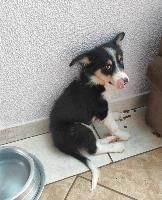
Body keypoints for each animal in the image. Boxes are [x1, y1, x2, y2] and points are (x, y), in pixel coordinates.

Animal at [50, 32, 130, 190]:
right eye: (107, 66)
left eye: (121, 61)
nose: (125, 81)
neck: (97, 82)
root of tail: (58, 143)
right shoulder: (102, 109)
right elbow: (113, 125)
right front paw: (123, 135)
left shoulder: (105, 109)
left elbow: (112, 116)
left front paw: (118, 115)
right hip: (80, 127)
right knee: (93, 149)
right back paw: (117, 146)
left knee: (95, 142)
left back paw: (109, 139)